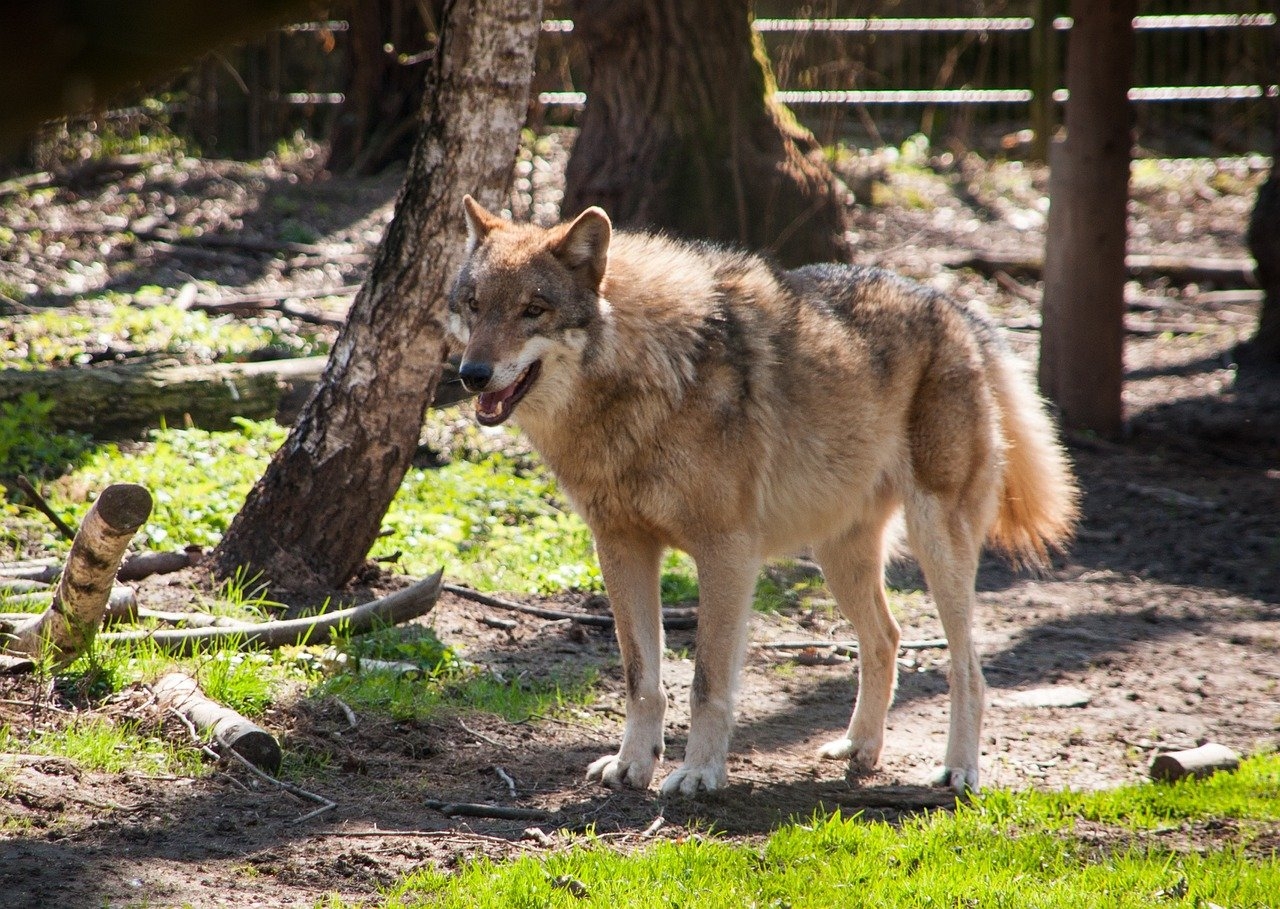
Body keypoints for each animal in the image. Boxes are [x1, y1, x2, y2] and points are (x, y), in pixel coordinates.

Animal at [447, 195, 1078, 796]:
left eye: (533, 310)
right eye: (473, 305)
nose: (472, 374)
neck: (646, 375)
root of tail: (956, 308)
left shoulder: (726, 553)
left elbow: (705, 682)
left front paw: (699, 775)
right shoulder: (621, 547)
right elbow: (641, 678)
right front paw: (633, 765)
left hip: (936, 546)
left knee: (967, 665)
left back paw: (959, 772)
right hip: (839, 558)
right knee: (887, 639)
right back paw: (859, 749)